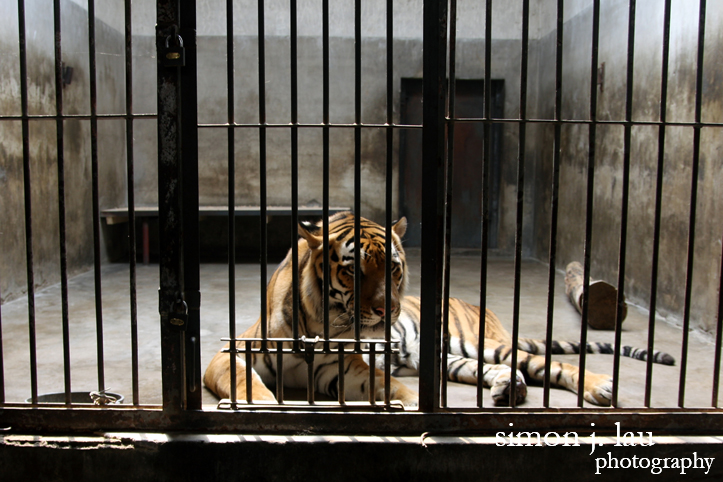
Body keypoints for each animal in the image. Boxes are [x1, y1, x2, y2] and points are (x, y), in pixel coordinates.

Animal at [205, 211, 680, 406]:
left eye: (394, 269)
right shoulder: (228, 356)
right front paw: (262, 403)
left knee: (548, 365)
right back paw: (510, 389)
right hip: (448, 357)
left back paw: (600, 387)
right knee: (505, 370)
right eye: (355, 272)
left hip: (482, 344)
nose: (389, 312)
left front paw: (415, 407)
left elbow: (389, 385)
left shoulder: (342, 367)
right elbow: (245, 381)